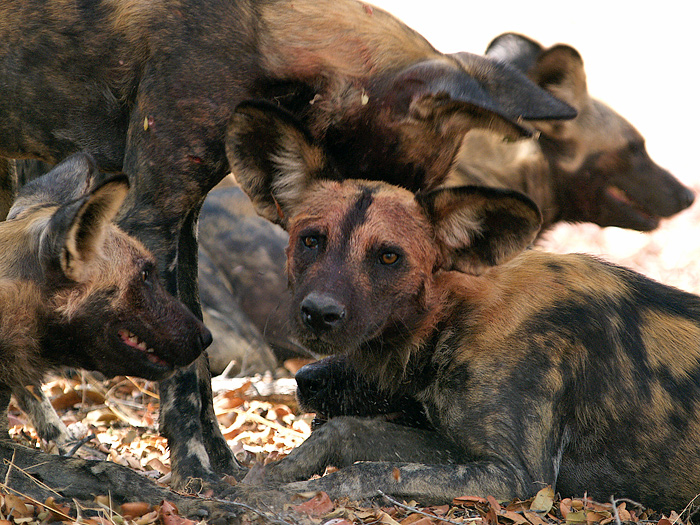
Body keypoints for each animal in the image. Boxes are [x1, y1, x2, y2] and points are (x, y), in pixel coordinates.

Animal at [228, 103, 700, 512]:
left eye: (388, 257)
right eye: (311, 240)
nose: (318, 315)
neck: (455, 320)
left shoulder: (514, 476)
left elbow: (368, 472)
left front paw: (295, 497)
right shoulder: (449, 446)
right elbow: (344, 432)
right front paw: (260, 479)